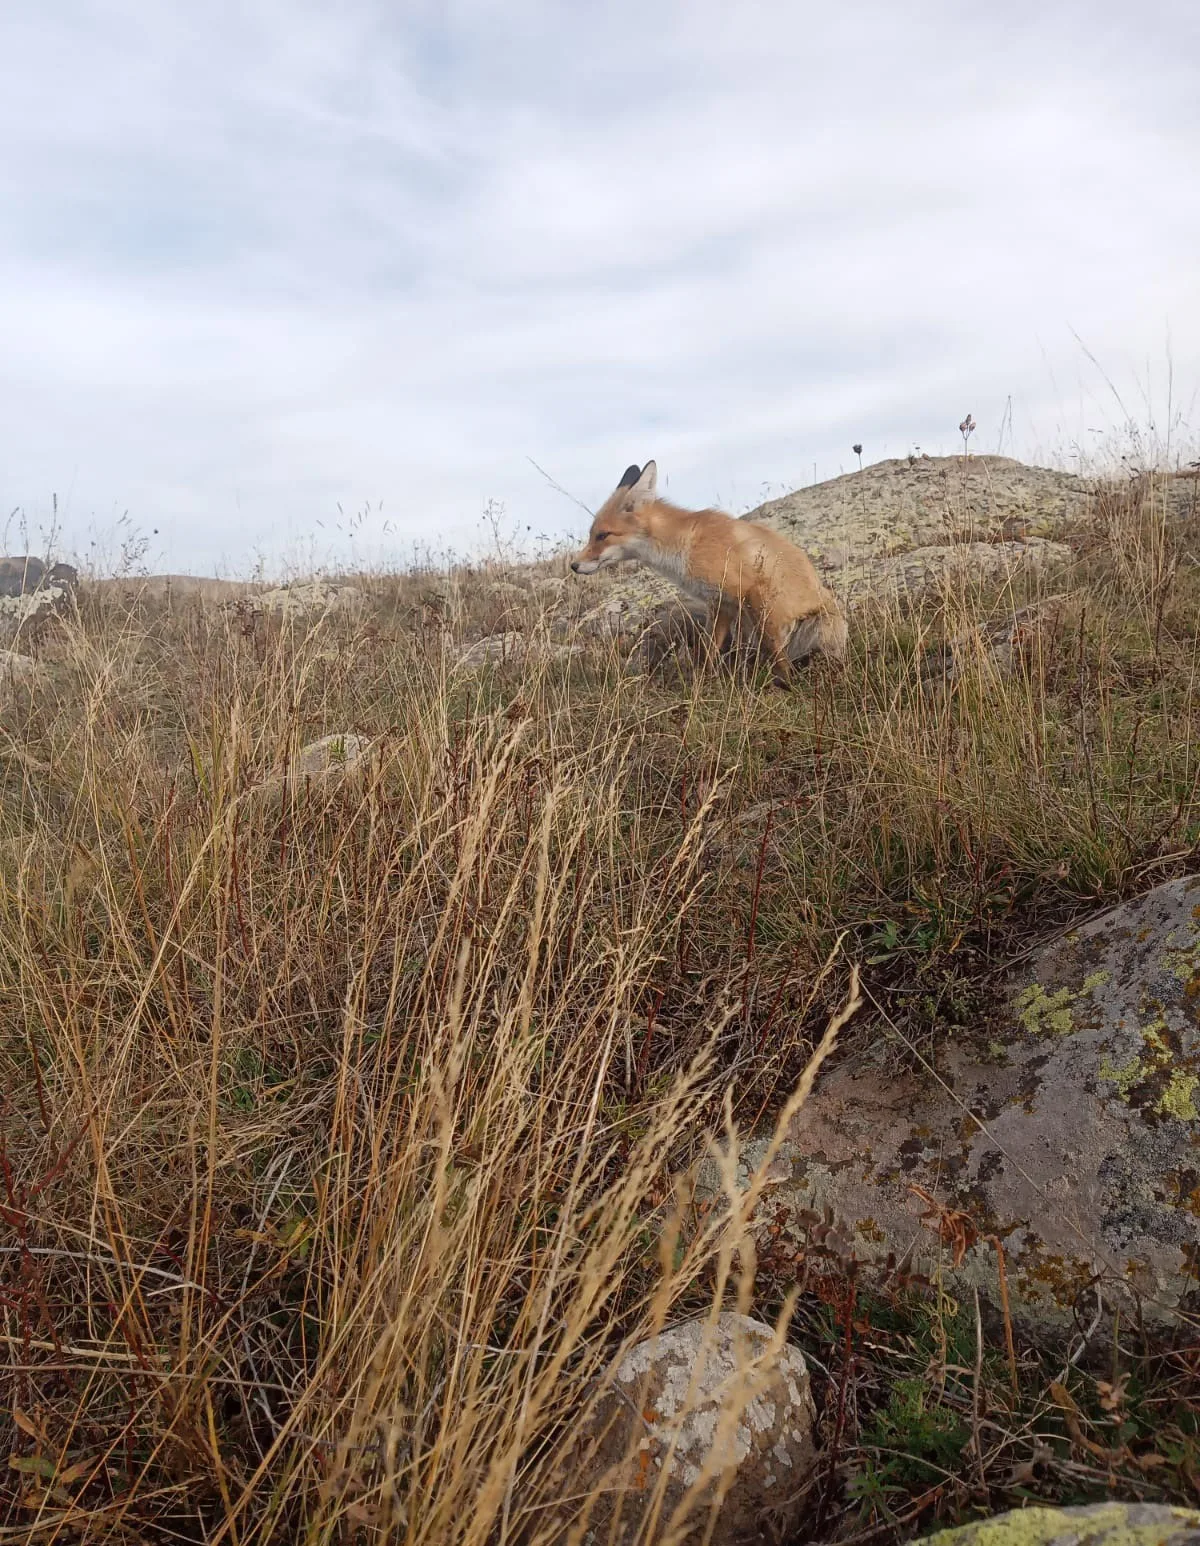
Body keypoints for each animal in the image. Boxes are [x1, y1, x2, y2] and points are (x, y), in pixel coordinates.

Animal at [569, 457, 841, 689]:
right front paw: (703, 684)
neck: (684, 546)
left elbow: (774, 649)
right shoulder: (720, 604)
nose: (573, 565)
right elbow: (709, 650)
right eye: (591, 535)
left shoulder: (752, 592)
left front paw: (788, 685)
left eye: (602, 535)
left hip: (819, 625)